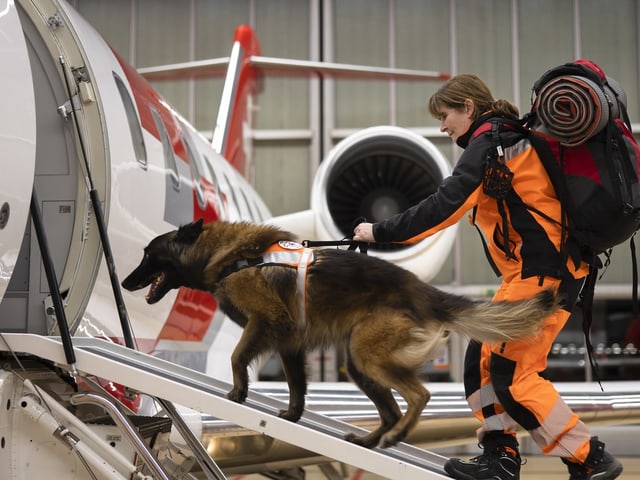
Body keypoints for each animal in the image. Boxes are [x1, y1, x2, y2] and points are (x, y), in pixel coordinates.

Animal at [121, 219, 560, 448]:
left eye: (148, 255)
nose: (124, 282)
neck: (227, 255)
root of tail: (423, 291)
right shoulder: (290, 341)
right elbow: (296, 385)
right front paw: (292, 416)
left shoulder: (266, 321)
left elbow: (236, 357)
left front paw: (237, 393)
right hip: (358, 361)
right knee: (392, 407)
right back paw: (371, 440)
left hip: (368, 355)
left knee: (419, 395)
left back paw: (396, 436)